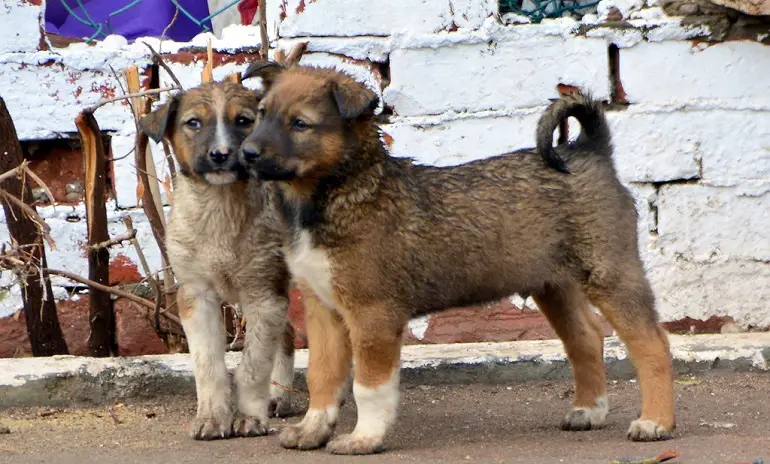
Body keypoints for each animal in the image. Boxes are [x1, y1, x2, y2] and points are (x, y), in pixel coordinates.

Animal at [138, 81, 294, 440]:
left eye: (244, 121)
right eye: (193, 123)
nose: (221, 154)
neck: (220, 207)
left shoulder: (265, 295)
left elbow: (253, 366)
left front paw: (250, 417)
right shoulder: (196, 295)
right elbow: (208, 365)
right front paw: (212, 417)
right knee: (290, 334)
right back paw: (279, 398)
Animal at [238, 63, 672, 454]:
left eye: (300, 124)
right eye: (260, 114)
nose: (245, 154)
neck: (336, 195)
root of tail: (588, 151)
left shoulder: (373, 315)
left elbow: (369, 387)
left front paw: (365, 438)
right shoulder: (323, 311)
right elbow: (322, 377)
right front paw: (312, 430)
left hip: (610, 275)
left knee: (652, 343)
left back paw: (655, 421)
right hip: (555, 286)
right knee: (586, 337)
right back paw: (589, 411)